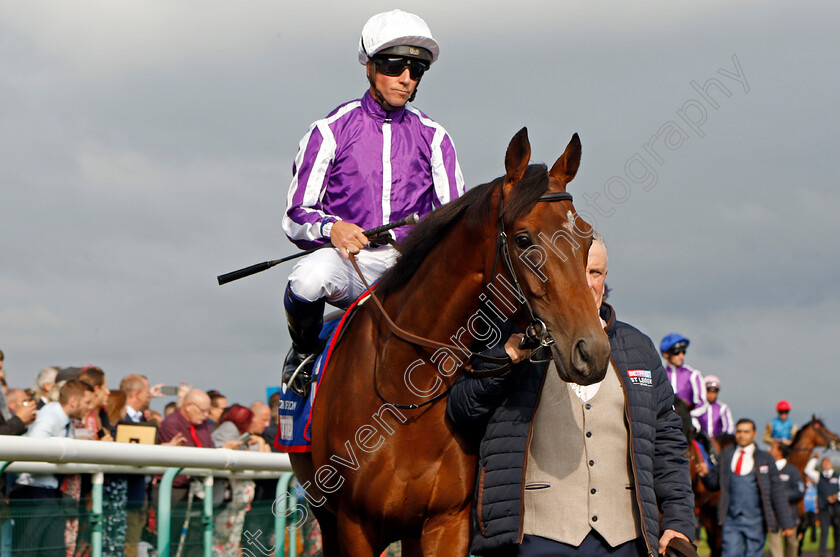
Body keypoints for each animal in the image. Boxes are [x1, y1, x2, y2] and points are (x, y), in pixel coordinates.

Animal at [290, 130, 612, 556]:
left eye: (585, 238)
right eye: (524, 239)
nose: (592, 351)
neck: (406, 392)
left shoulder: (446, 522)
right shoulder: (354, 525)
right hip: (325, 518)